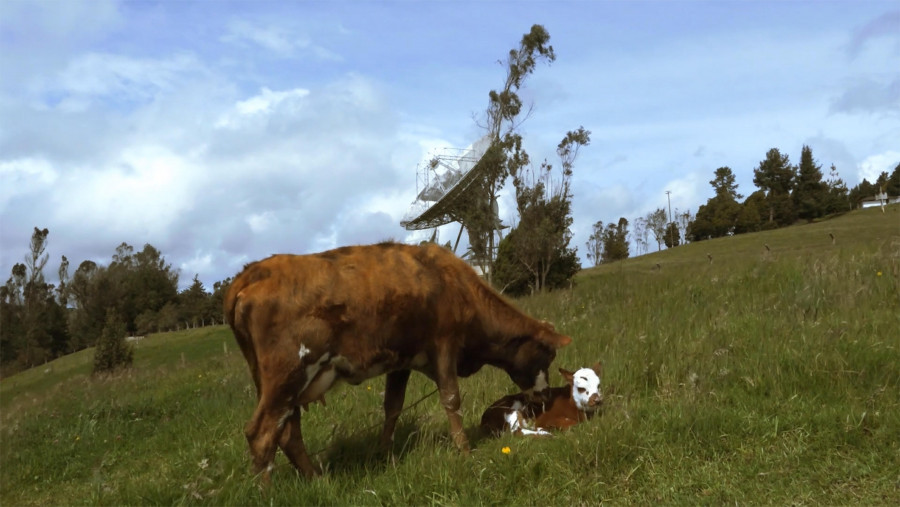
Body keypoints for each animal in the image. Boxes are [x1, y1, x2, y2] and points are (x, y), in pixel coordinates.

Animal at [223, 242, 568, 480]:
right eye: (547, 354)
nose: (546, 397)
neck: (454, 283)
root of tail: (252, 272)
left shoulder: (401, 362)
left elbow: (392, 407)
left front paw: (384, 453)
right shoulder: (444, 344)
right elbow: (451, 399)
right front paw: (465, 450)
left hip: (283, 386)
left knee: (288, 433)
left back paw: (316, 480)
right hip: (287, 376)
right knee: (261, 434)